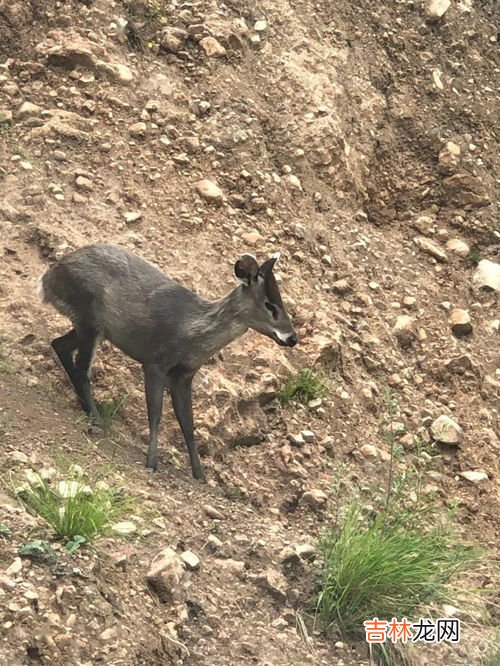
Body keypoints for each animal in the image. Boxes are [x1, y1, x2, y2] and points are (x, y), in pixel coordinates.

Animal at [38, 243, 296, 478]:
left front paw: (200, 474)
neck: (191, 333)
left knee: (59, 345)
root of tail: (48, 279)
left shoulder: (184, 376)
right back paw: (97, 418)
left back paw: (87, 408)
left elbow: (188, 422)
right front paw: (151, 462)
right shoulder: (155, 362)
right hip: (89, 320)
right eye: (270, 305)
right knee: (82, 368)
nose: (292, 337)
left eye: (282, 302)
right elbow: (156, 412)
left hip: (90, 327)